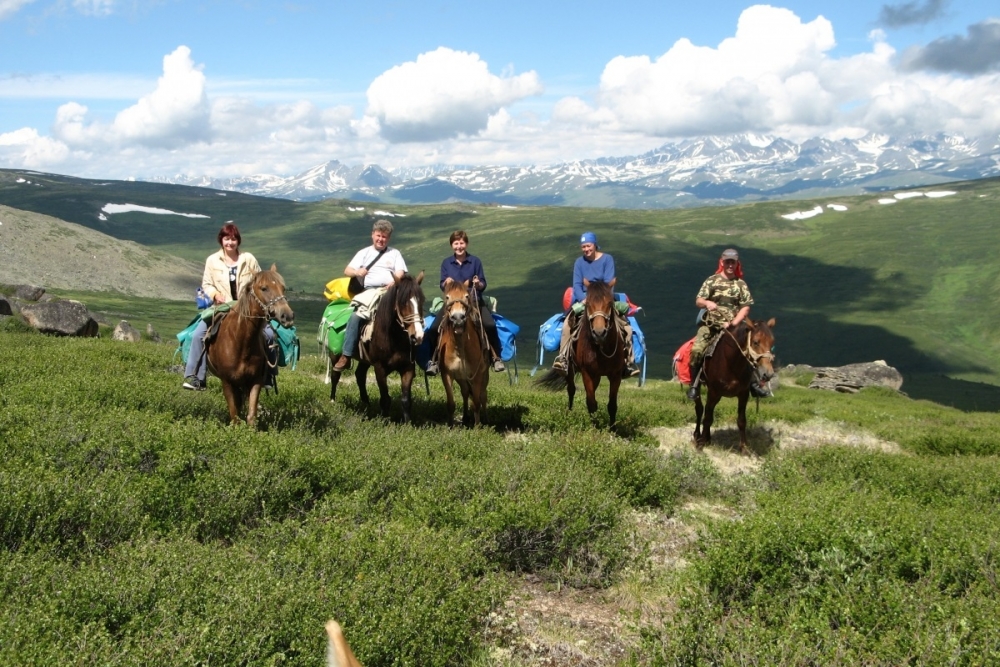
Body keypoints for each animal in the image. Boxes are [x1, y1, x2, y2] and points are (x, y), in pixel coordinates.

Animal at [205, 264, 292, 426]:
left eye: (283, 288)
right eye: (264, 288)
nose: (287, 316)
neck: (241, 341)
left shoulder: (255, 380)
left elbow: (251, 416)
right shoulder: (227, 382)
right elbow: (234, 416)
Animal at [328, 272, 422, 420]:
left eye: (421, 301)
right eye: (403, 303)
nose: (417, 336)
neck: (394, 339)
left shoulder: (408, 368)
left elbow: (406, 400)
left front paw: (407, 423)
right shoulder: (380, 368)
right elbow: (385, 399)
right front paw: (384, 420)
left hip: (364, 360)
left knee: (360, 375)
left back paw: (366, 403)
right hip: (335, 355)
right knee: (335, 374)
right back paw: (332, 400)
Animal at [438, 278, 488, 426]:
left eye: (466, 296)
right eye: (447, 297)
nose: (458, 318)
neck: (459, 347)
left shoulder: (477, 375)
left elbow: (476, 402)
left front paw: (477, 427)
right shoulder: (447, 374)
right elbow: (451, 403)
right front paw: (450, 426)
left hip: (484, 375)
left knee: (483, 395)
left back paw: (485, 419)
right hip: (461, 377)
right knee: (465, 392)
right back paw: (465, 417)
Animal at [540, 280, 624, 428]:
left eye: (610, 303)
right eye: (588, 303)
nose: (599, 333)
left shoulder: (616, 375)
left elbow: (612, 405)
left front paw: (613, 429)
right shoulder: (587, 373)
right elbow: (591, 403)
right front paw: (595, 427)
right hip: (570, 369)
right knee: (571, 389)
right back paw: (569, 413)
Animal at [692, 318, 776, 454]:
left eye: (772, 342)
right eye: (756, 342)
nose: (768, 374)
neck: (731, 363)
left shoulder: (743, 394)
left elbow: (741, 420)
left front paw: (744, 447)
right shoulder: (713, 393)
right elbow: (707, 418)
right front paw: (701, 445)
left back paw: (707, 438)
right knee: (699, 409)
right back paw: (697, 436)